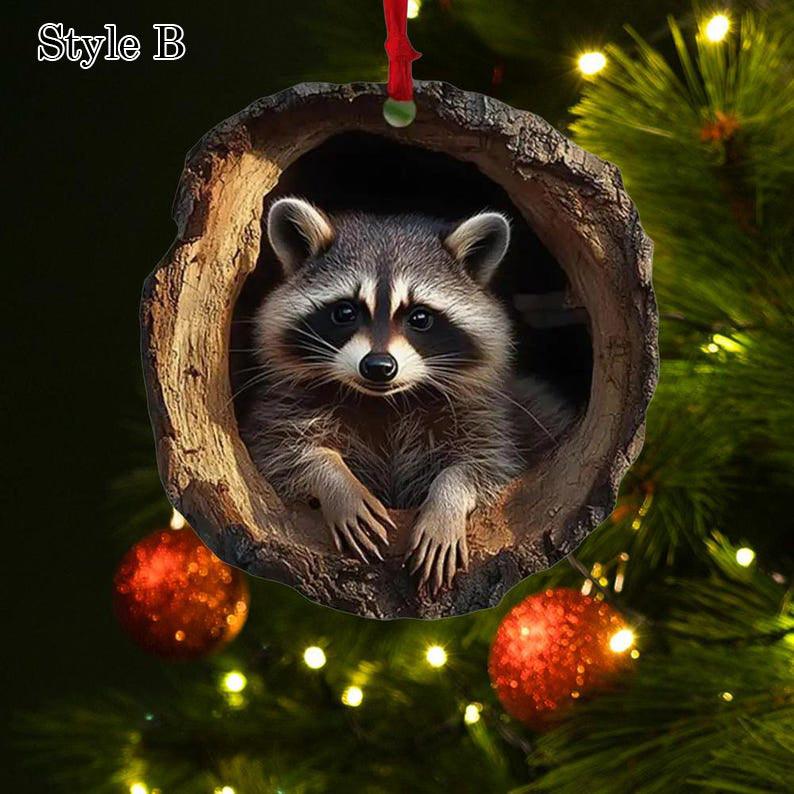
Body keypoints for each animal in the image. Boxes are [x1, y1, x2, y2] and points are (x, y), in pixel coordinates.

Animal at [239, 198, 573, 594]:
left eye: (420, 317)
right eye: (345, 311)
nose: (379, 366)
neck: (386, 400)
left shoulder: (486, 413)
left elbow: (487, 465)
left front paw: (447, 501)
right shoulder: (285, 404)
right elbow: (279, 450)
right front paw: (334, 479)